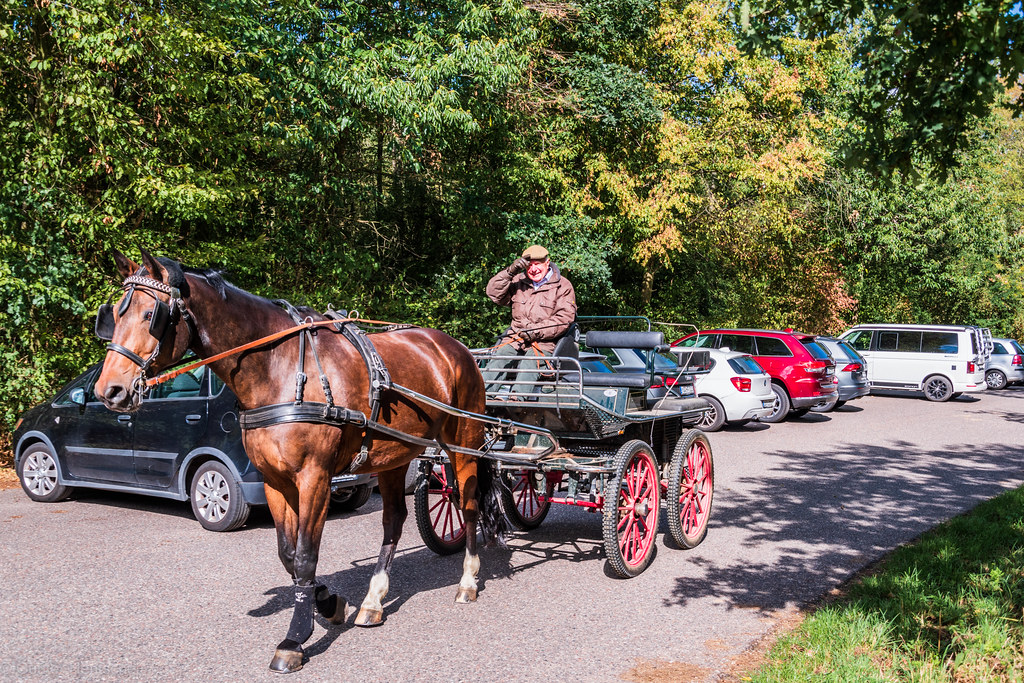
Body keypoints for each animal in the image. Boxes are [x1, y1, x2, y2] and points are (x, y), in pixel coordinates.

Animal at [92, 250, 499, 671]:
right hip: (393, 454)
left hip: (463, 441)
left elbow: (305, 554)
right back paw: (373, 600)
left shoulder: (314, 478)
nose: (109, 390)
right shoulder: (274, 481)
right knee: (393, 520)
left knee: (467, 504)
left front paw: (295, 638)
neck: (280, 369)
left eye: (150, 314)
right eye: (114, 315)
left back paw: (467, 581)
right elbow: (288, 554)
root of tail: (453, 346)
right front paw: (329, 603)